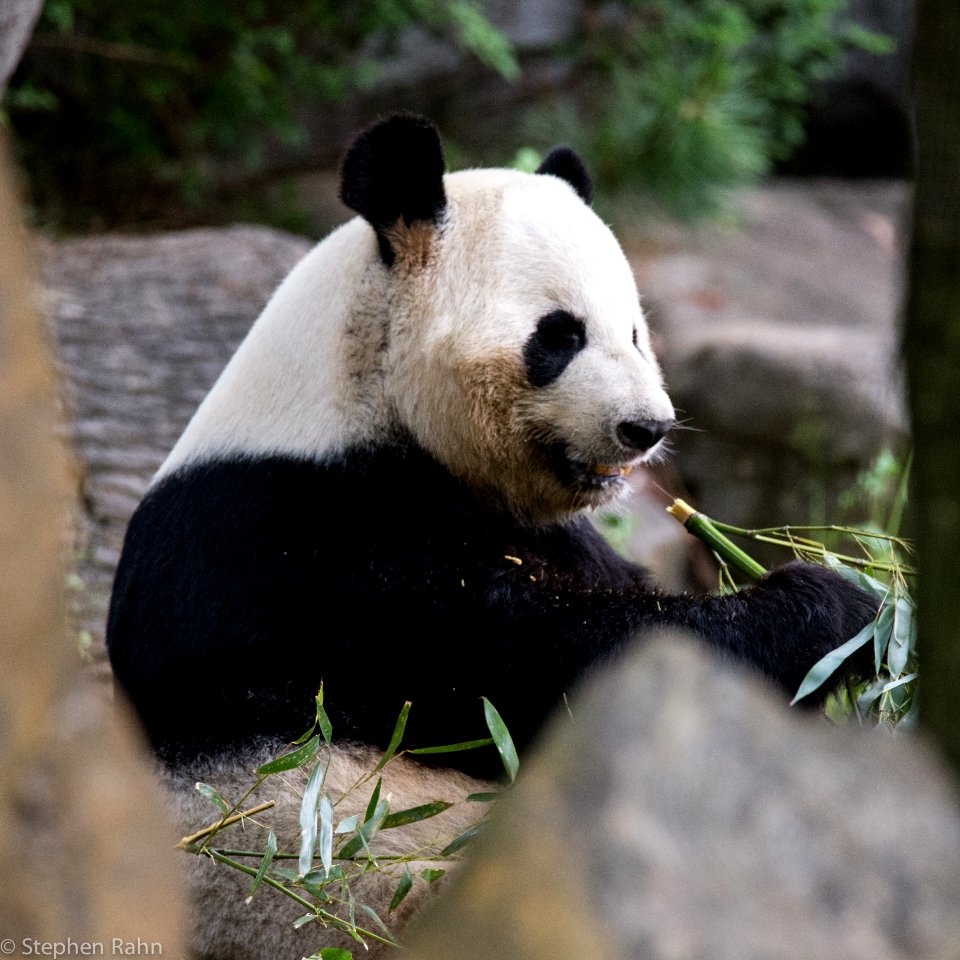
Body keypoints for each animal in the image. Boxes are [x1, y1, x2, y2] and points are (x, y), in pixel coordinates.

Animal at [107, 114, 876, 960]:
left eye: (636, 333)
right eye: (559, 336)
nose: (646, 428)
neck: (357, 390)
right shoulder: (299, 549)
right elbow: (537, 666)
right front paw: (835, 606)